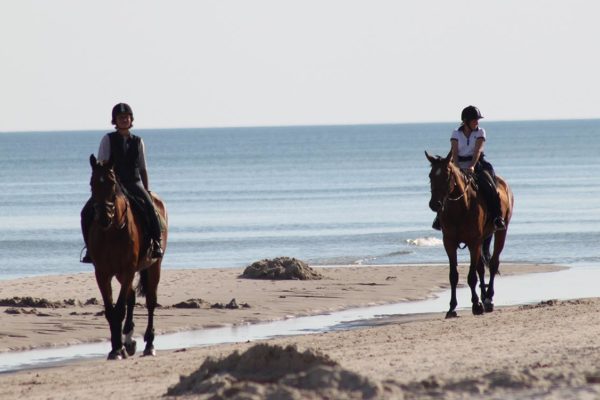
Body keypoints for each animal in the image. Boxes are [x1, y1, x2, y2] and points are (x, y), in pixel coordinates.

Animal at [86, 154, 168, 360]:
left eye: (112, 182)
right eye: (92, 183)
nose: (104, 217)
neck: (111, 232)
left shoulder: (129, 268)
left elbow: (120, 309)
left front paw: (118, 349)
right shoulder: (103, 273)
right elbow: (111, 310)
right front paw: (117, 347)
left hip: (154, 266)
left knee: (150, 301)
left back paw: (149, 344)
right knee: (131, 297)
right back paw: (129, 340)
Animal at [424, 151, 512, 318]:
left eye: (447, 175)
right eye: (430, 175)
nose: (434, 204)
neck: (460, 207)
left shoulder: (473, 242)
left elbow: (471, 277)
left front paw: (476, 305)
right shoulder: (449, 243)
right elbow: (454, 276)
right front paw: (452, 308)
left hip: (501, 232)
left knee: (493, 264)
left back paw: (488, 299)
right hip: (484, 237)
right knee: (481, 268)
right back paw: (484, 297)